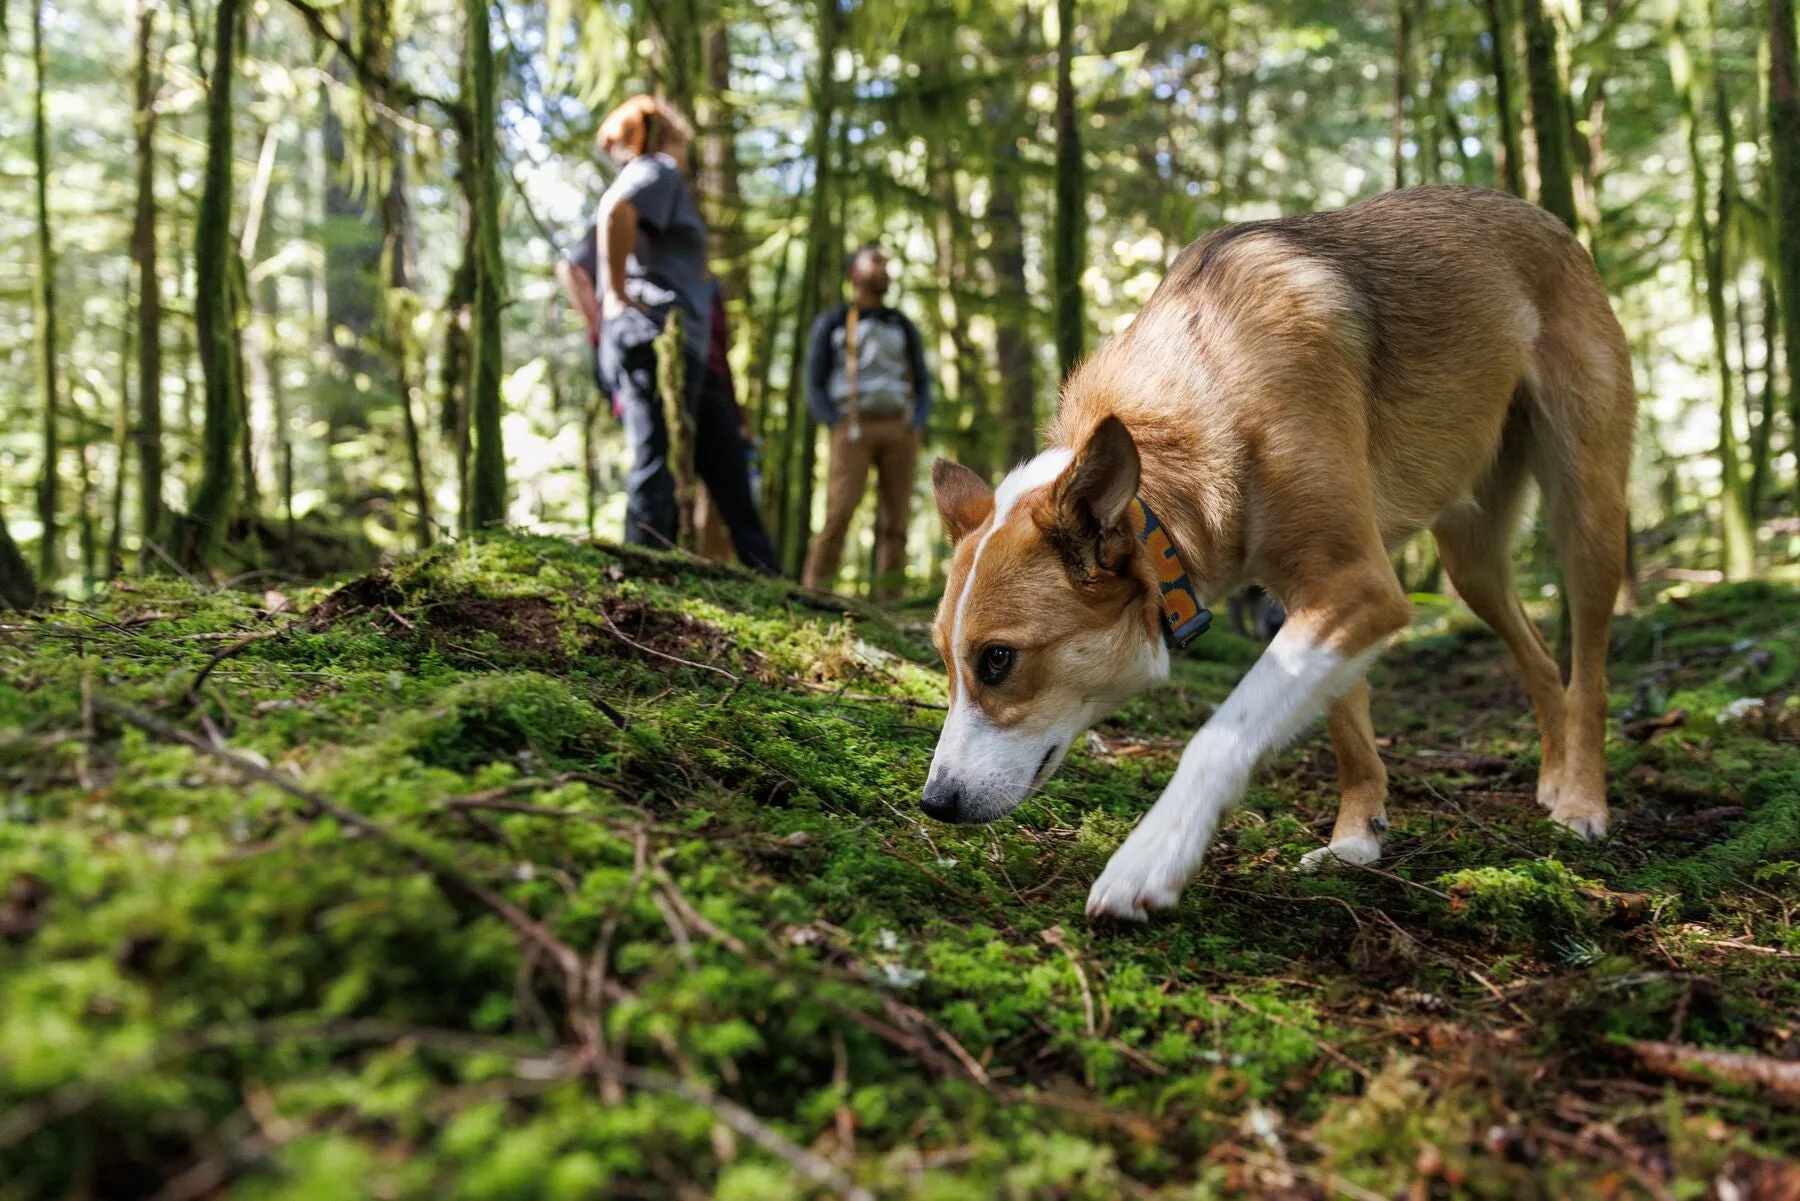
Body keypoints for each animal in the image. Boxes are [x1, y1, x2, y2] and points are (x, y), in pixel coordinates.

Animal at [921, 188, 1641, 921]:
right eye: (944, 659)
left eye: (998, 659)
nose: (935, 803)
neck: (1210, 384)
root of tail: (1543, 217)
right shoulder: (1315, 598)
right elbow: (1347, 728)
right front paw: (1356, 838)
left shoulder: (1358, 584)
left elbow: (1223, 731)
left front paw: (1150, 857)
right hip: (1471, 560)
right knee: (1542, 659)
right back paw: (1553, 777)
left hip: (1587, 513)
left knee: (1591, 673)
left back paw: (1582, 801)